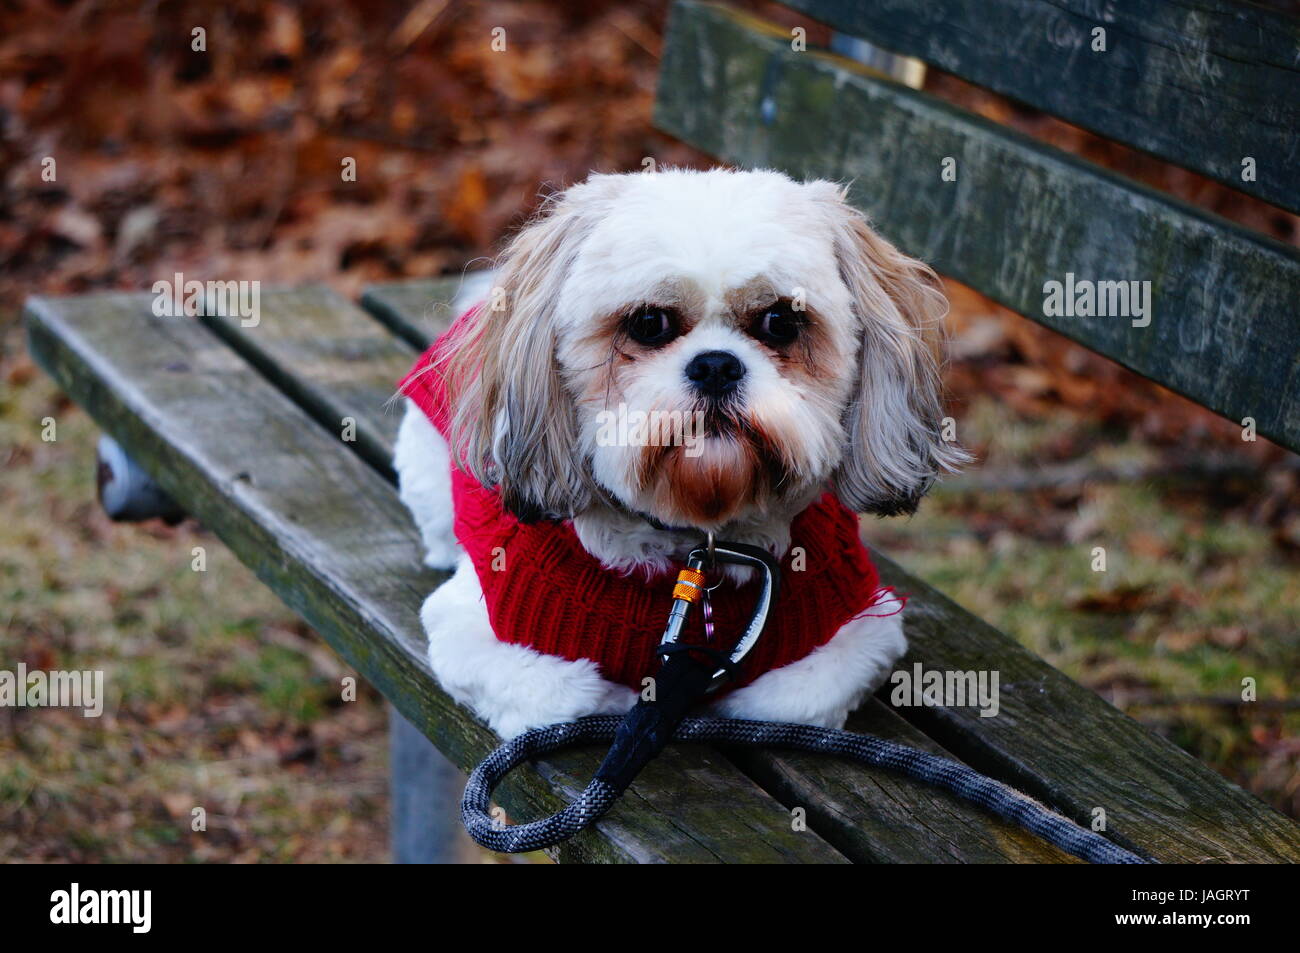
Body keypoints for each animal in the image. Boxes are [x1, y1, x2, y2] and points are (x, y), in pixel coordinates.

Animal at [395, 167, 967, 738]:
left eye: (781, 322)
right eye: (649, 323)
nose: (715, 365)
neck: (699, 539)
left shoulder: (858, 634)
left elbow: (793, 699)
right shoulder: (476, 636)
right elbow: (572, 698)